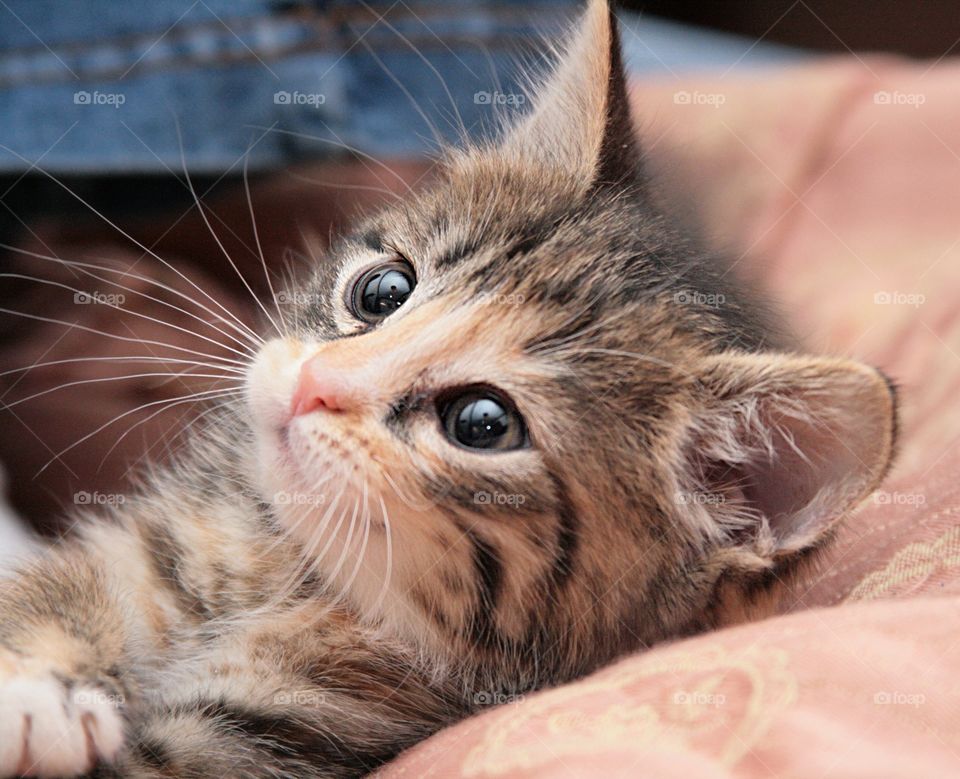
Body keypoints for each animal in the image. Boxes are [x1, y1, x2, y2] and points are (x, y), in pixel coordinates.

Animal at [1, 3, 900, 776]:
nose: (312, 383)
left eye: (481, 422)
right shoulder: (157, 545)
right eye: (382, 291)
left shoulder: (295, 729)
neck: (282, 570)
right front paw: (35, 686)